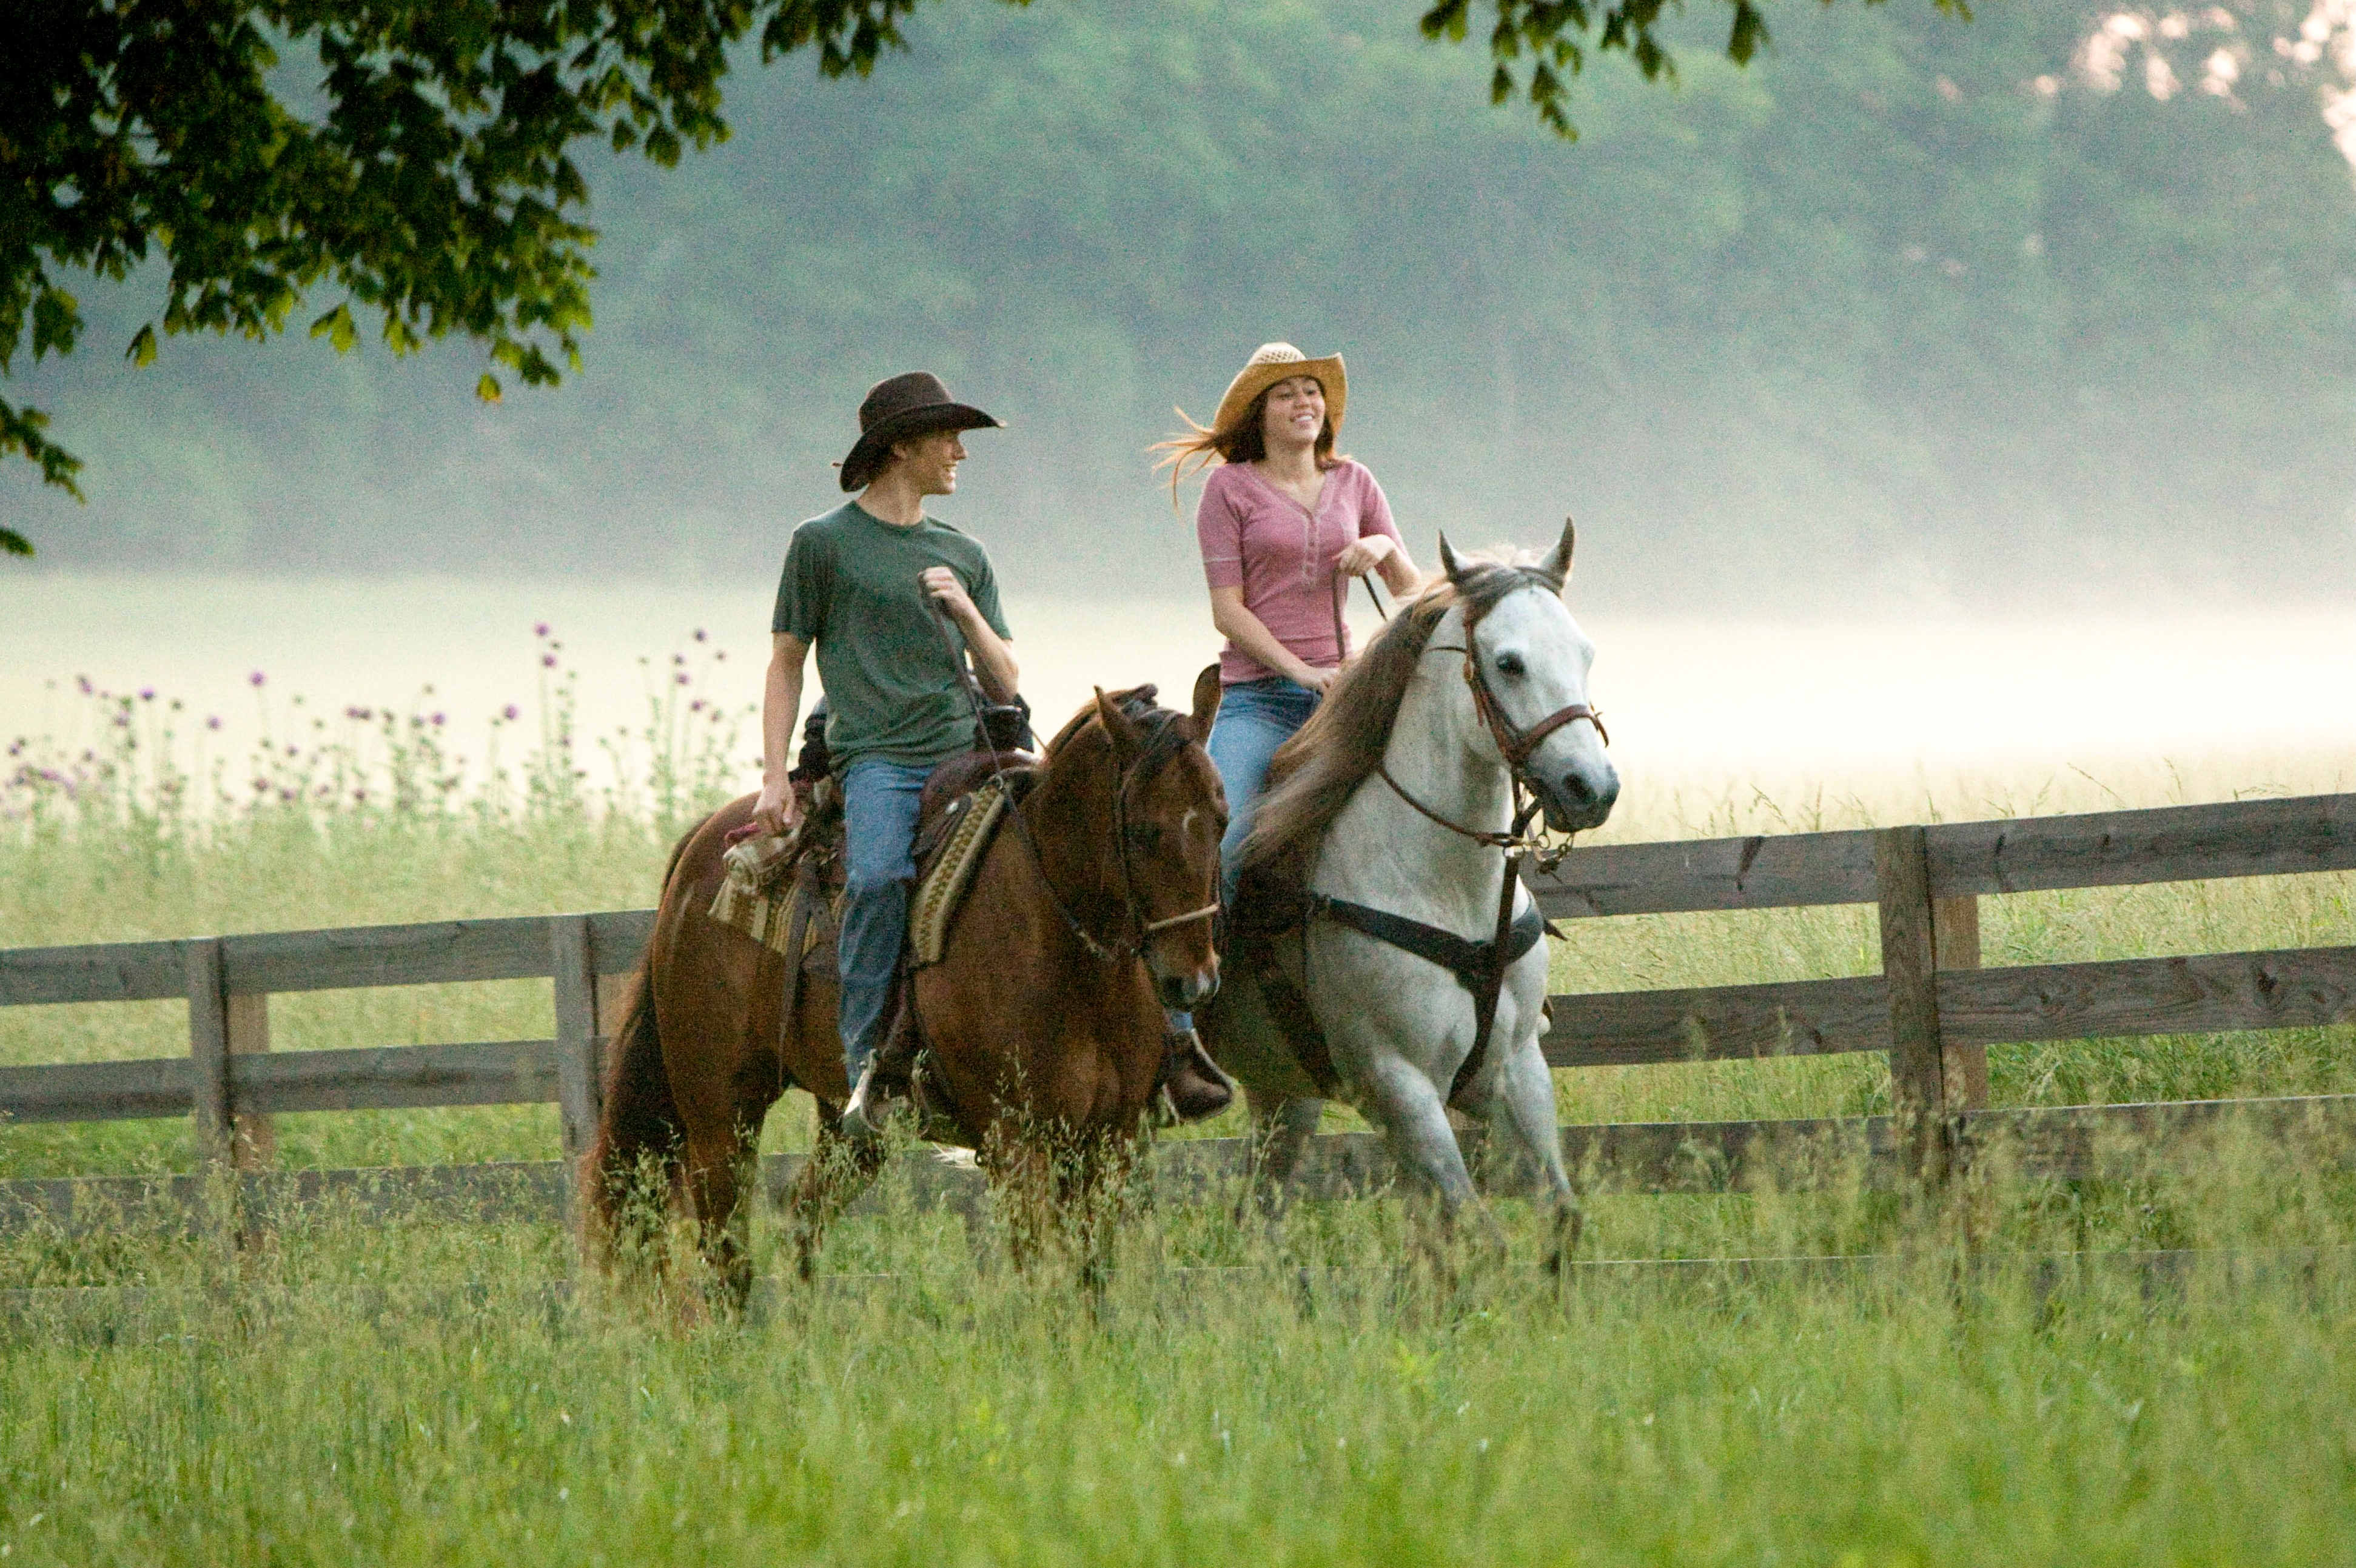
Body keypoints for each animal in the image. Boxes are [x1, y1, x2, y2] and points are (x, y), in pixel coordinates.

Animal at [582, 673, 1225, 1290]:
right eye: (1142, 832)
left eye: (1220, 820)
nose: (1192, 983)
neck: (1067, 956)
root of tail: (699, 850)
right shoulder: (1015, 1142)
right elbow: (1042, 1278)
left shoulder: (1108, 1142)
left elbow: (1089, 1280)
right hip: (721, 1113)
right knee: (726, 1258)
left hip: (849, 1129)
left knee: (802, 1219)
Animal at [1196, 523, 1620, 1262]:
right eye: (1509, 663)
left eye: (1584, 652)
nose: (1590, 788)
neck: (1447, 890)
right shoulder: (1398, 1087)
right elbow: (1478, 1231)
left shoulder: (1517, 1068)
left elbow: (1557, 1215)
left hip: (1283, 1093)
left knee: (1260, 1213)